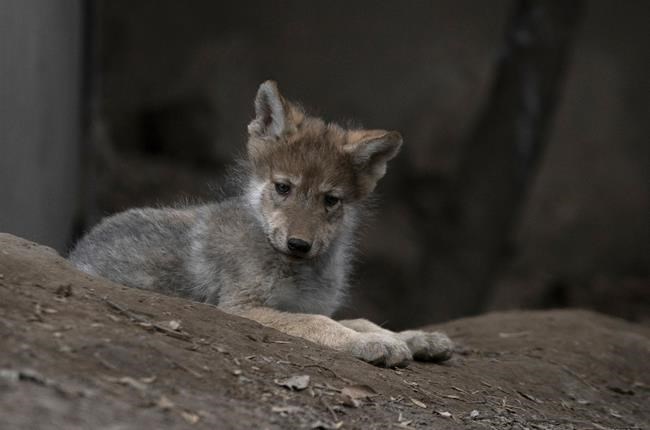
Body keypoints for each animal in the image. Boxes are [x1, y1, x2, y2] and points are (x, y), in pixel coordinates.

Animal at [69, 81, 453, 367]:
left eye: (330, 200)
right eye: (283, 188)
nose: (299, 244)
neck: (298, 269)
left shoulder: (307, 304)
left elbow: (359, 320)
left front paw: (413, 337)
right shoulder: (243, 308)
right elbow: (320, 323)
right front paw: (375, 344)